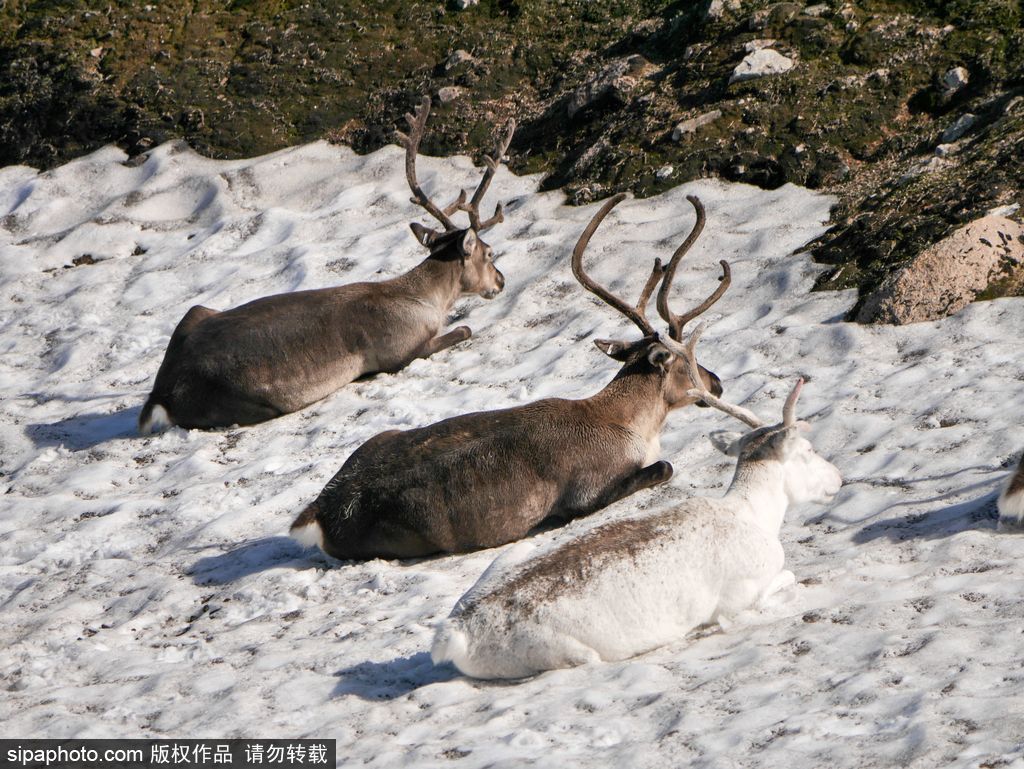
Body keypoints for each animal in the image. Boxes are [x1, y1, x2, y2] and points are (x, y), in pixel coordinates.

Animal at [138, 96, 514, 432]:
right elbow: (464, 330)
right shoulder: (402, 350)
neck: (426, 300)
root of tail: (162, 395)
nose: (501, 280)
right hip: (260, 399)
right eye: (489, 252)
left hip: (196, 311)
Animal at [289, 191, 732, 560]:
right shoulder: (586, 492)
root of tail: (321, 510)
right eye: (685, 359)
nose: (717, 382)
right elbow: (664, 467)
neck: (628, 424)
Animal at [431, 327, 843, 680]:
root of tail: (453, 634)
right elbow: (785, 579)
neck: (753, 515)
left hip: (510, 556)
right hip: (568, 652)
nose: (837, 479)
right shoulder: (738, 597)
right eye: (807, 450)